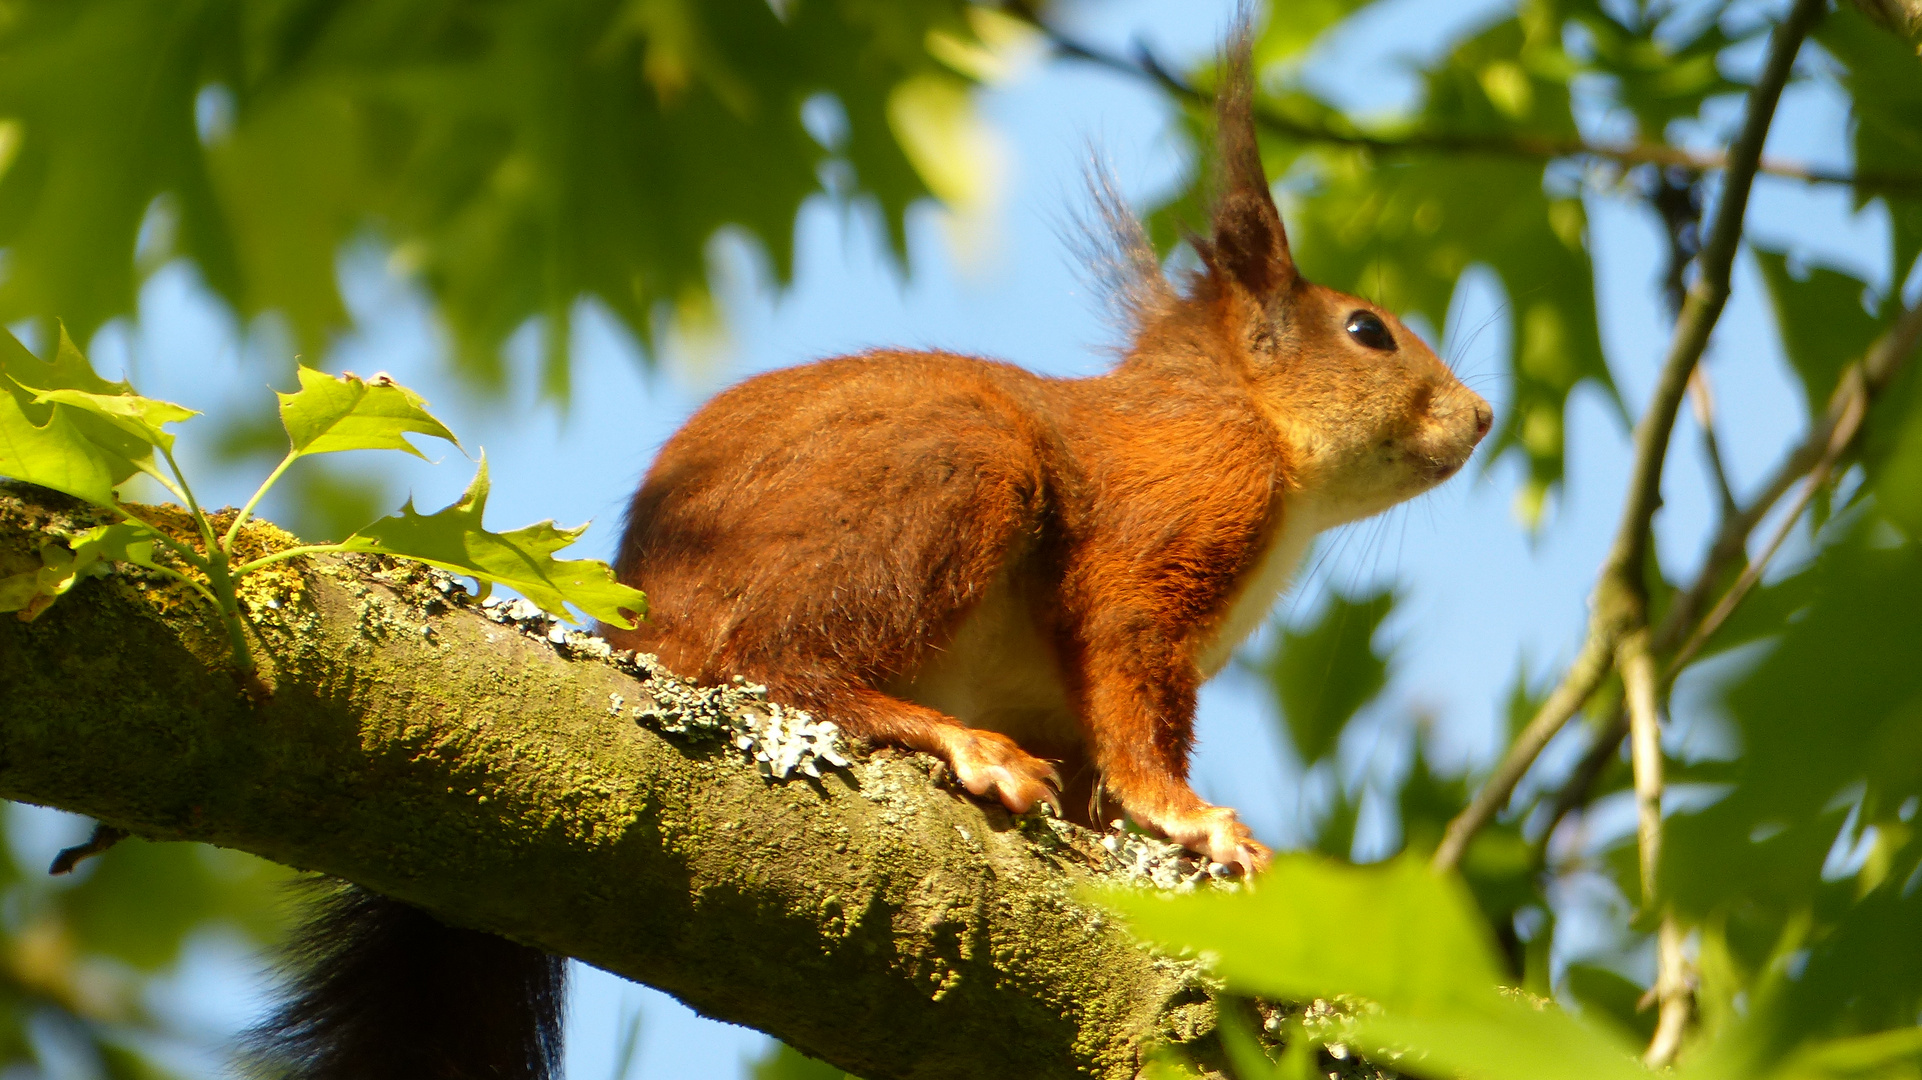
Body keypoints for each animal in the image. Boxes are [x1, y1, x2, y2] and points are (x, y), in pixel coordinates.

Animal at [599, 46, 1483, 868]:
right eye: (1368, 331)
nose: (1482, 416)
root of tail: (645, 618)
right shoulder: (1190, 496)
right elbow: (1128, 661)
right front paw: (1188, 816)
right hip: (954, 474)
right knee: (768, 660)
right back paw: (962, 743)